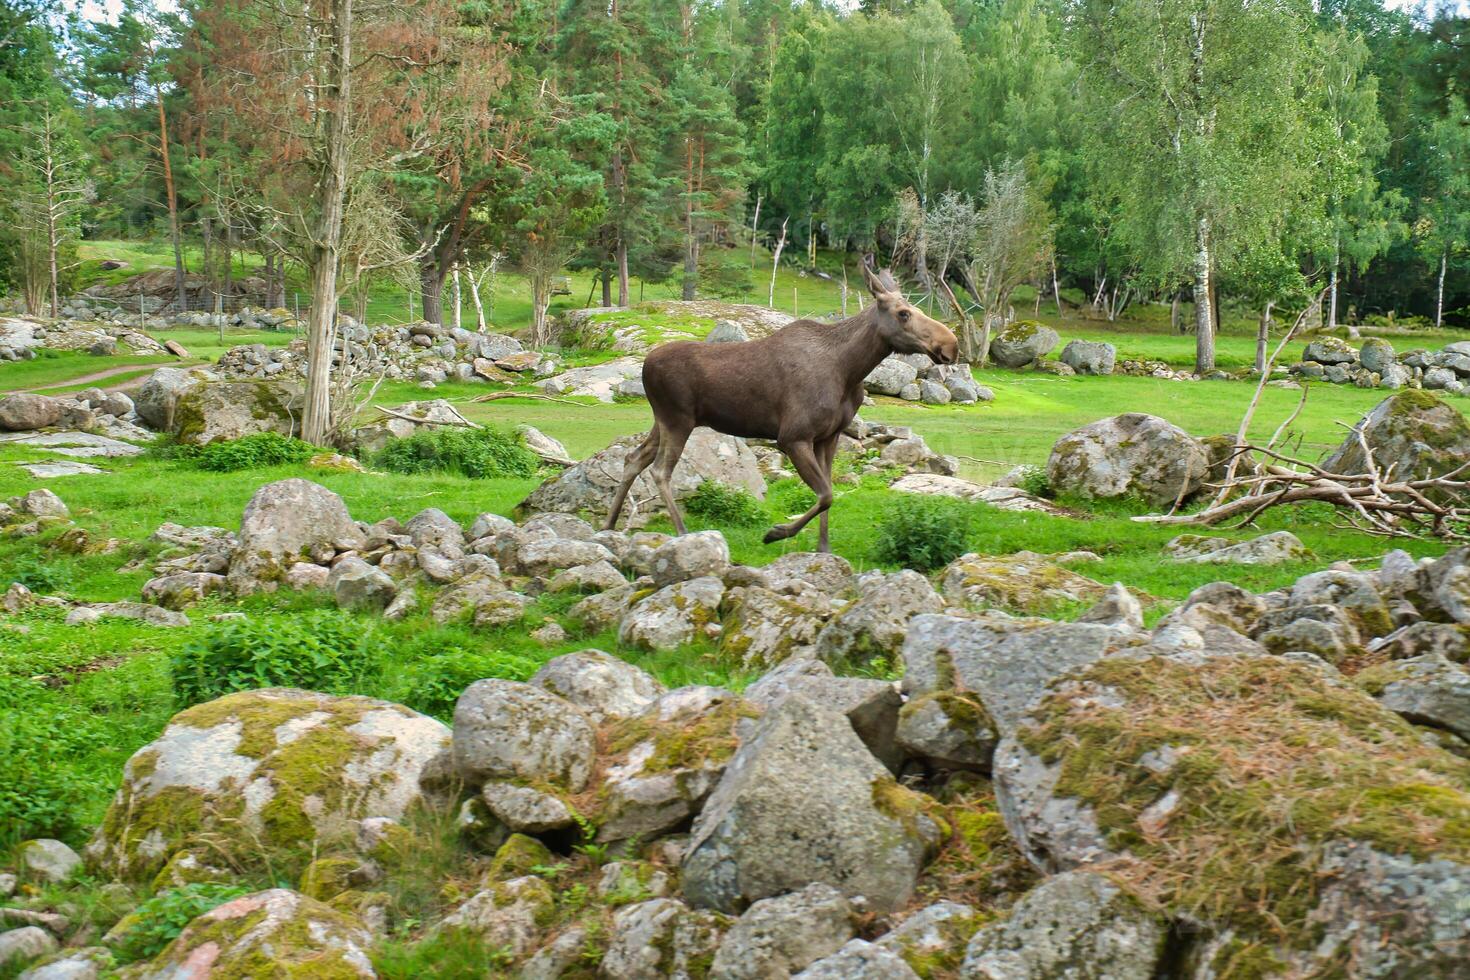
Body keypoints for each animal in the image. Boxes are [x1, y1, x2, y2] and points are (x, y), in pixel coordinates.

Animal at [602, 260, 958, 552]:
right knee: (660, 470)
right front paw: (776, 532)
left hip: (663, 420)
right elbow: (826, 494)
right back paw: (681, 531)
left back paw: (609, 525)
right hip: (677, 419)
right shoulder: (793, 436)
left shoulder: (829, 436)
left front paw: (823, 549)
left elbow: (829, 493)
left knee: (633, 458)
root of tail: (645, 367)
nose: (951, 345)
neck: (849, 371)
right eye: (903, 313)